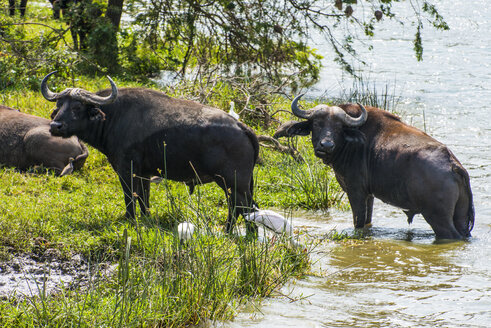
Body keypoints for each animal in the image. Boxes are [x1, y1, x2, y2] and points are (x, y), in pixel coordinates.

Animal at [41, 72, 262, 231]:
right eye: (59, 105)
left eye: (77, 107)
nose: (55, 126)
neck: (113, 117)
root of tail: (242, 127)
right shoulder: (145, 174)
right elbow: (143, 199)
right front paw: (146, 218)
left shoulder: (126, 169)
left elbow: (129, 197)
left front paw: (130, 220)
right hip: (240, 184)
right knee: (244, 208)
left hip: (233, 182)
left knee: (242, 207)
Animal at [274, 93, 474, 240]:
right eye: (317, 123)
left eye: (339, 127)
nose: (326, 145)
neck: (352, 143)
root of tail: (453, 164)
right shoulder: (369, 195)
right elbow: (368, 221)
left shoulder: (355, 191)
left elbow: (358, 221)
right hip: (460, 217)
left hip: (438, 218)